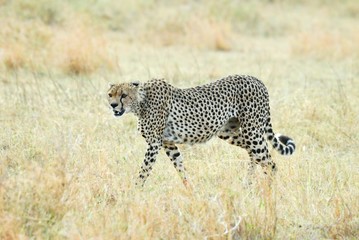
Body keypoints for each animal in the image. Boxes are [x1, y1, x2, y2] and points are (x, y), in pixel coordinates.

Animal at [107, 75, 296, 188]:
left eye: (124, 95)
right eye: (110, 94)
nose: (113, 105)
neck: (140, 102)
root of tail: (255, 79)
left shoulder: (154, 143)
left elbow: (144, 170)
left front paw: (134, 190)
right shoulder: (168, 143)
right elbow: (179, 166)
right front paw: (190, 189)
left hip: (252, 131)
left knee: (270, 162)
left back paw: (268, 189)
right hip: (229, 132)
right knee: (255, 155)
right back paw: (247, 184)